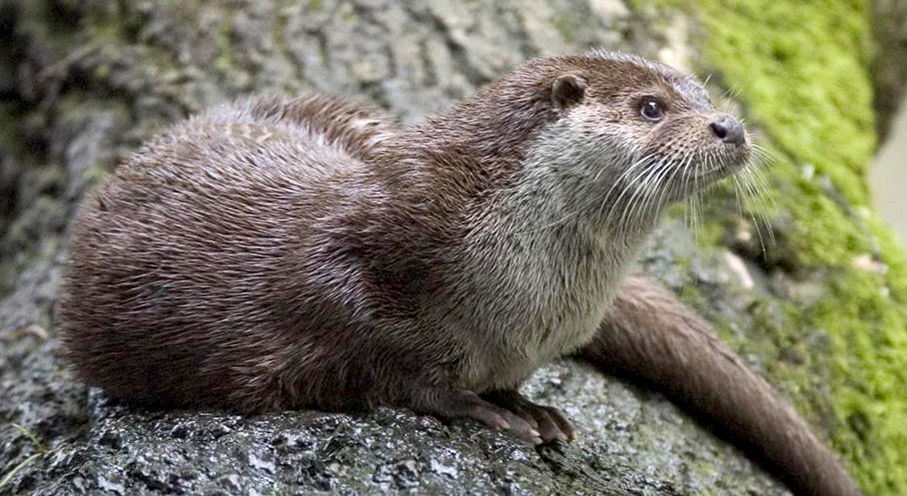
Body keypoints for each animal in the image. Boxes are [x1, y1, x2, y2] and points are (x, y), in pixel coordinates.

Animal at [58, 51, 864, 496]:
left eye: (703, 94)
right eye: (650, 107)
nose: (730, 126)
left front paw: (527, 404)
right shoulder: (358, 267)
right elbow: (386, 361)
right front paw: (482, 409)